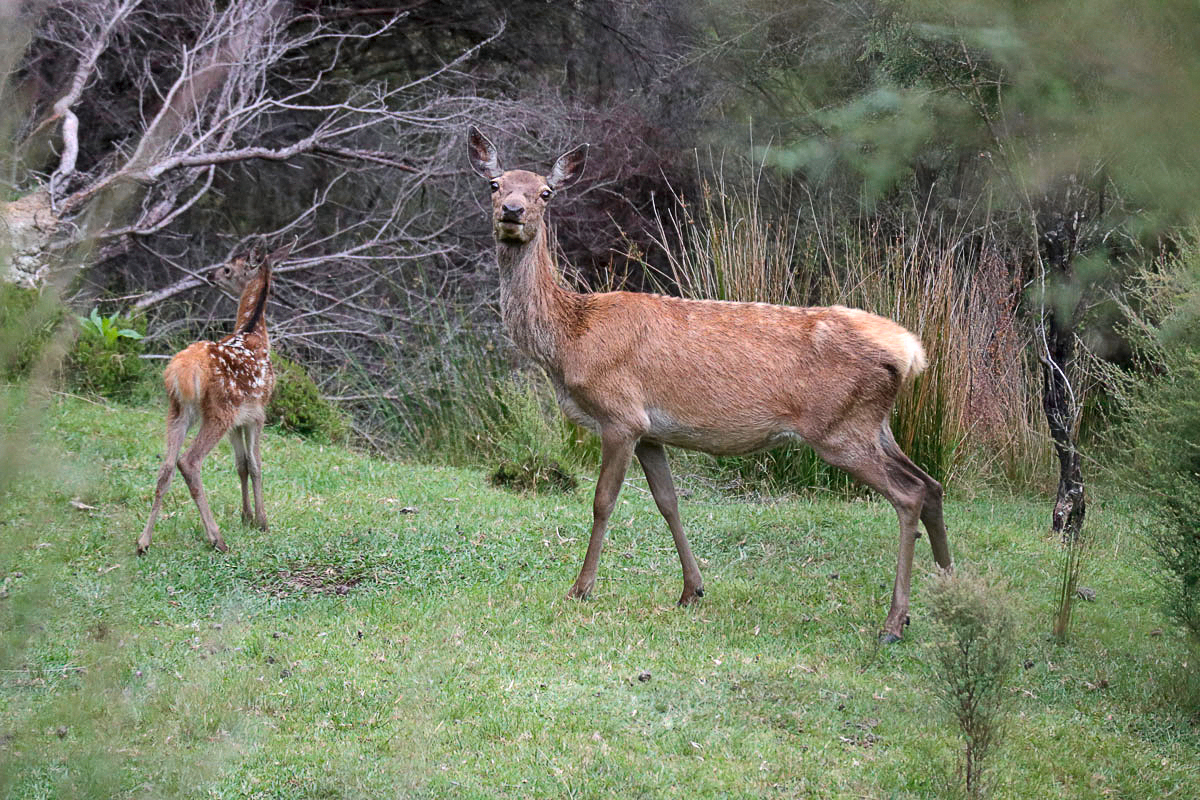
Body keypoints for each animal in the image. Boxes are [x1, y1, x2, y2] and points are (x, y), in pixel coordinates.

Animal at [137, 243, 290, 556]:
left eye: (228, 268)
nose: (210, 275)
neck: (254, 332)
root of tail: (181, 371)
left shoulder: (239, 421)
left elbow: (241, 464)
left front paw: (246, 516)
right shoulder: (258, 413)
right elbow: (256, 464)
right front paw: (262, 520)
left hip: (178, 410)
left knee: (166, 466)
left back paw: (143, 541)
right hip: (219, 410)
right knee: (189, 462)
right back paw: (216, 537)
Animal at [467, 126, 953, 642]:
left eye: (545, 192)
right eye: (494, 184)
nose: (512, 211)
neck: (568, 339)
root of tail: (910, 351)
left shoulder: (619, 415)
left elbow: (603, 502)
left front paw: (581, 588)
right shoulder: (650, 431)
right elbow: (668, 502)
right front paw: (691, 590)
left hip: (840, 428)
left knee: (909, 494)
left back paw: (894, 622)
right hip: (875, 424)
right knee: (932, 483)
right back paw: (951, 588)